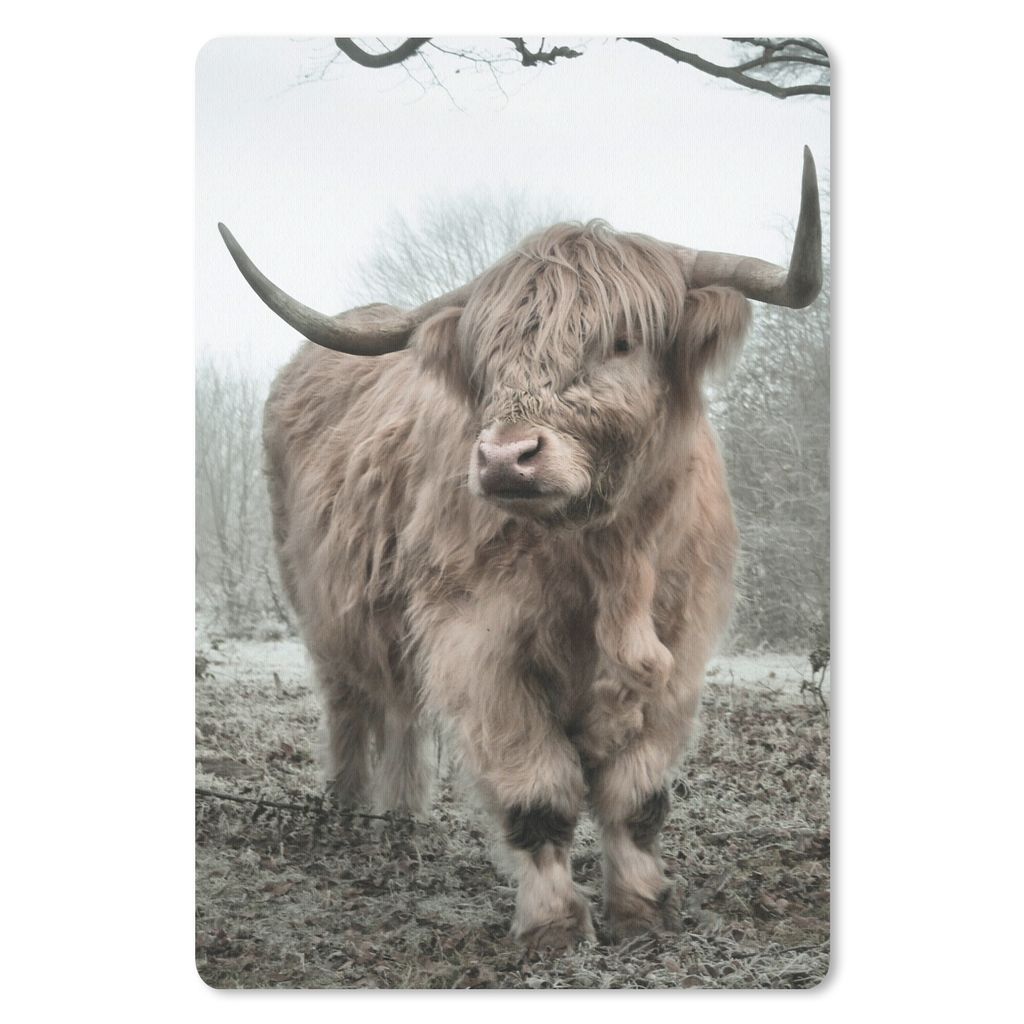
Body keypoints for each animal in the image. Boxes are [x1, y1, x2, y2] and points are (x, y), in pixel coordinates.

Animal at [217, 148, 822, 948]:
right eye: (490, 357)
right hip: (322, 609)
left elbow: (638, 796)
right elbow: (539, 792)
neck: (607, 559)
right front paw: (555, 926)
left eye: (621, 341)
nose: (507, 458)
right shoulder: (479, 646)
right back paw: (350, 816)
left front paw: (643, 910)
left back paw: (402, 820)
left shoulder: (681, 648)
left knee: (402, 712)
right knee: (351, 706)